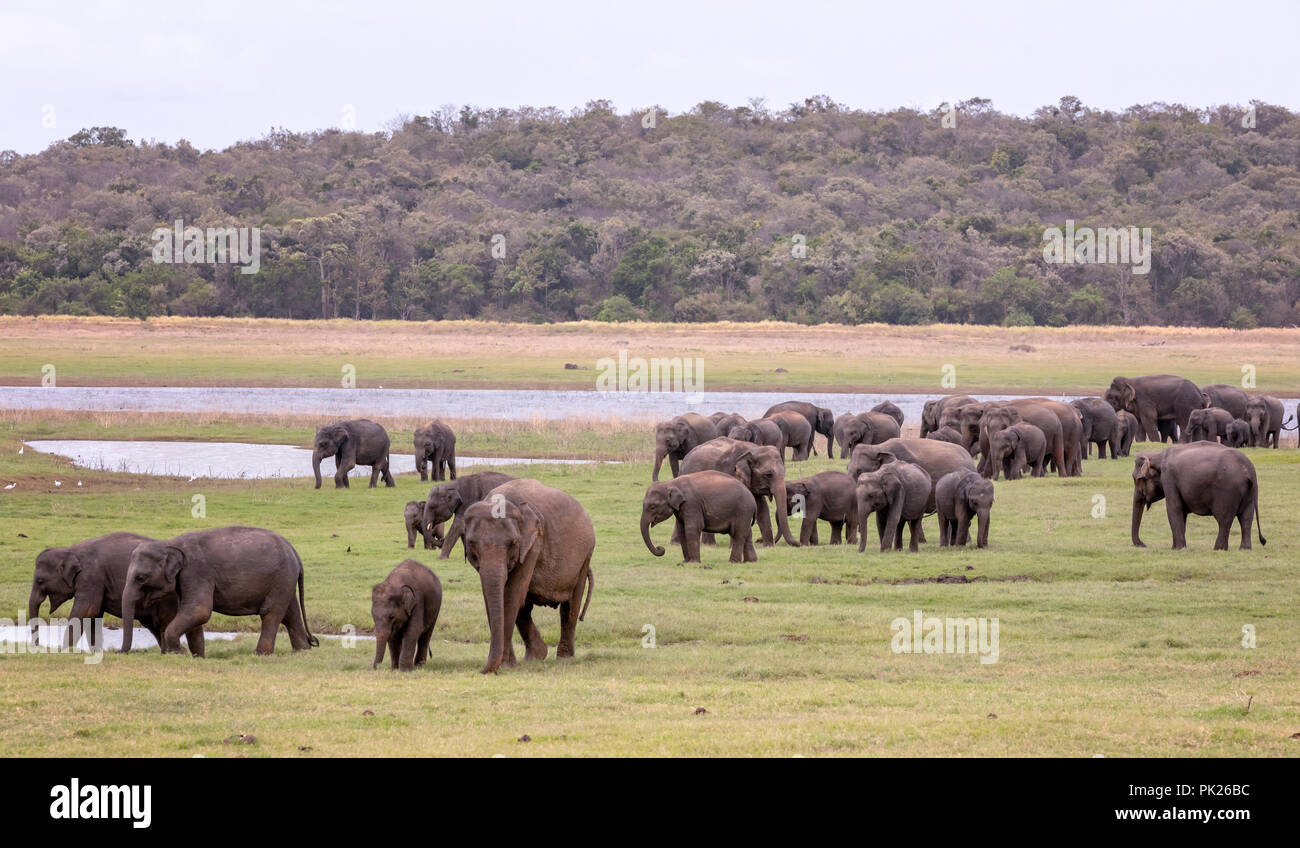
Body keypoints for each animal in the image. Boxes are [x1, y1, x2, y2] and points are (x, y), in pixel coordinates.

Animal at [28, 530, 202, 655]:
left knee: (164, 623)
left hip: (168, 598)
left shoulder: (91, 578)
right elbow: (93, 617)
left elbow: (84, 611)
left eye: (40, 581)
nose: (38, 646)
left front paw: (64, 651)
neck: (71, 550)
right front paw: (96, 652)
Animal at [120, 522, 319, 655]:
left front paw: (179, 653)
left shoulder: (197, 572)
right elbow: (193, 615)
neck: (169, 543)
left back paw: (260, 654)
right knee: (290, 614)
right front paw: (197, 657)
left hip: (281, 578)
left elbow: (199, 611)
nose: (120, 652)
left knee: (271, 613)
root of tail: (294, 552)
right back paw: (302, 652)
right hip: (284, 580)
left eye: (140, 578)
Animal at [462, 481, 595, 671]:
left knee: (570, 606)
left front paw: (505, 666)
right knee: (526, 607)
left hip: (585, 556)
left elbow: (511, 596)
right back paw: (536, 656)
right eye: (471, 543)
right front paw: (508, 665)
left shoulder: (533, 545)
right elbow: (492, 597)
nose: (482, 670)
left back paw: (564, 659)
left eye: (513, 543)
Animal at [1133, 444, 1263, 548]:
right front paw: (1179, 547)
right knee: (1246, 518)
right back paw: (1244, 549)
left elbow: (1174, 508)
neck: (1157, 455)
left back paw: (1219, 549)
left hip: (1228, 491)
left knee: (1224, 519)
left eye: (1137, 479)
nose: (1144, 545)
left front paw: (1177, 549)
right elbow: (1182, 512)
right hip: (1250, 492)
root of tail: (1248, 469)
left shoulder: (1169, 478)